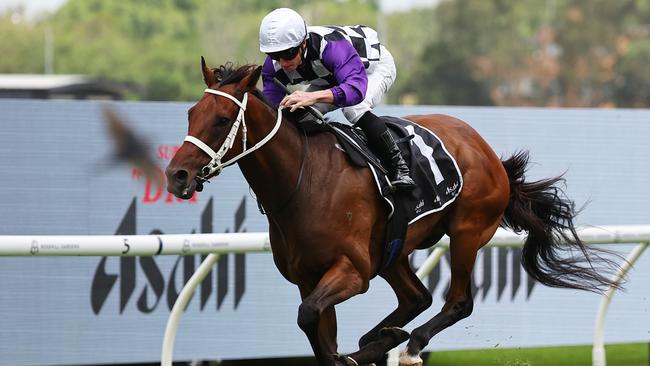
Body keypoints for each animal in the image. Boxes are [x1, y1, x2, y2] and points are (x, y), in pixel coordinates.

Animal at [165, 60, 616, 366]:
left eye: (222, 119)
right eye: (190, 114)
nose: (176, 175)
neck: (303, 183)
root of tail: (486, 150)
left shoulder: (352, 272)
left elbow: (310, 318)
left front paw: (347, 356)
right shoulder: (309, 278)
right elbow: (316, 326)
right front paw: (348, 352)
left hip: (468, 230)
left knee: (457, 302)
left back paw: (409, 344)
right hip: (393, 249)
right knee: (418, 297)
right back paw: (381, 338)